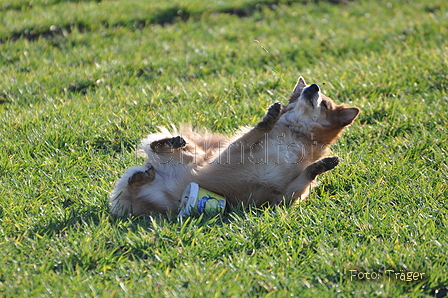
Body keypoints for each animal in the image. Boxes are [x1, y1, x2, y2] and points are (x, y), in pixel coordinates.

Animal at [110, 77, 358, 215]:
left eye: (325, 105)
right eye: (301, 94)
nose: (313, 87)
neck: (296, 135)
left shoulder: (280, 196)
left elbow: (305, 177)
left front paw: (323, 165)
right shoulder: (232, 153)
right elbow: (254, 133)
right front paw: (269, 118)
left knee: (134, 183)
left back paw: (141, 176)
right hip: (195, 153)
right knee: (156, 146)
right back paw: (168, 143)